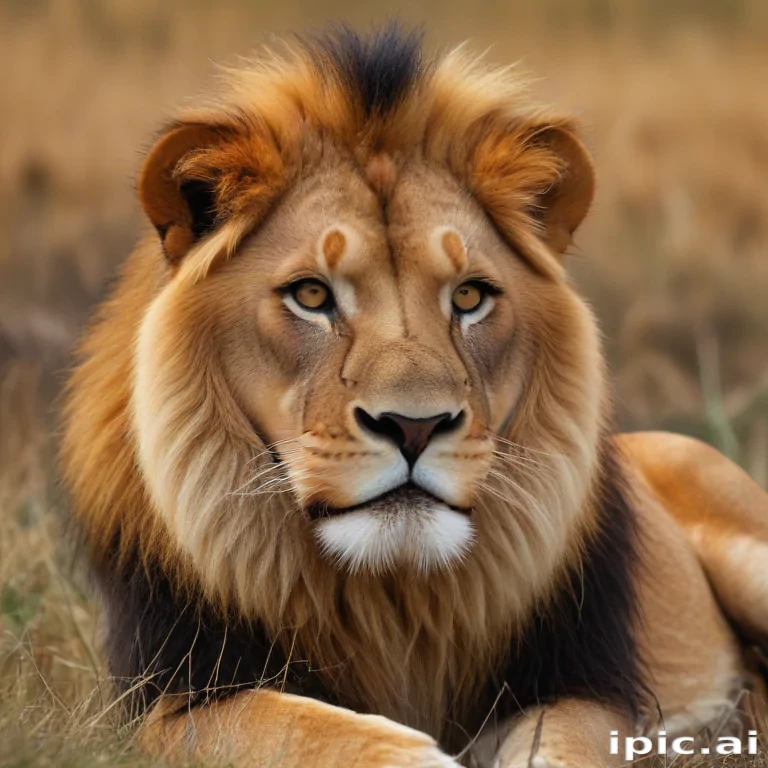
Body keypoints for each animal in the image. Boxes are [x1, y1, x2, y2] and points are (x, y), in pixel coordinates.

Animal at [60, 25, 768, 768]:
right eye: (311, 294)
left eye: (470, 296)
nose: (414, 427)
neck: (394, 594)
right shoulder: (167, 699)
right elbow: (299, 728)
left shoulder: (583, 684)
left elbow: (559, 748)